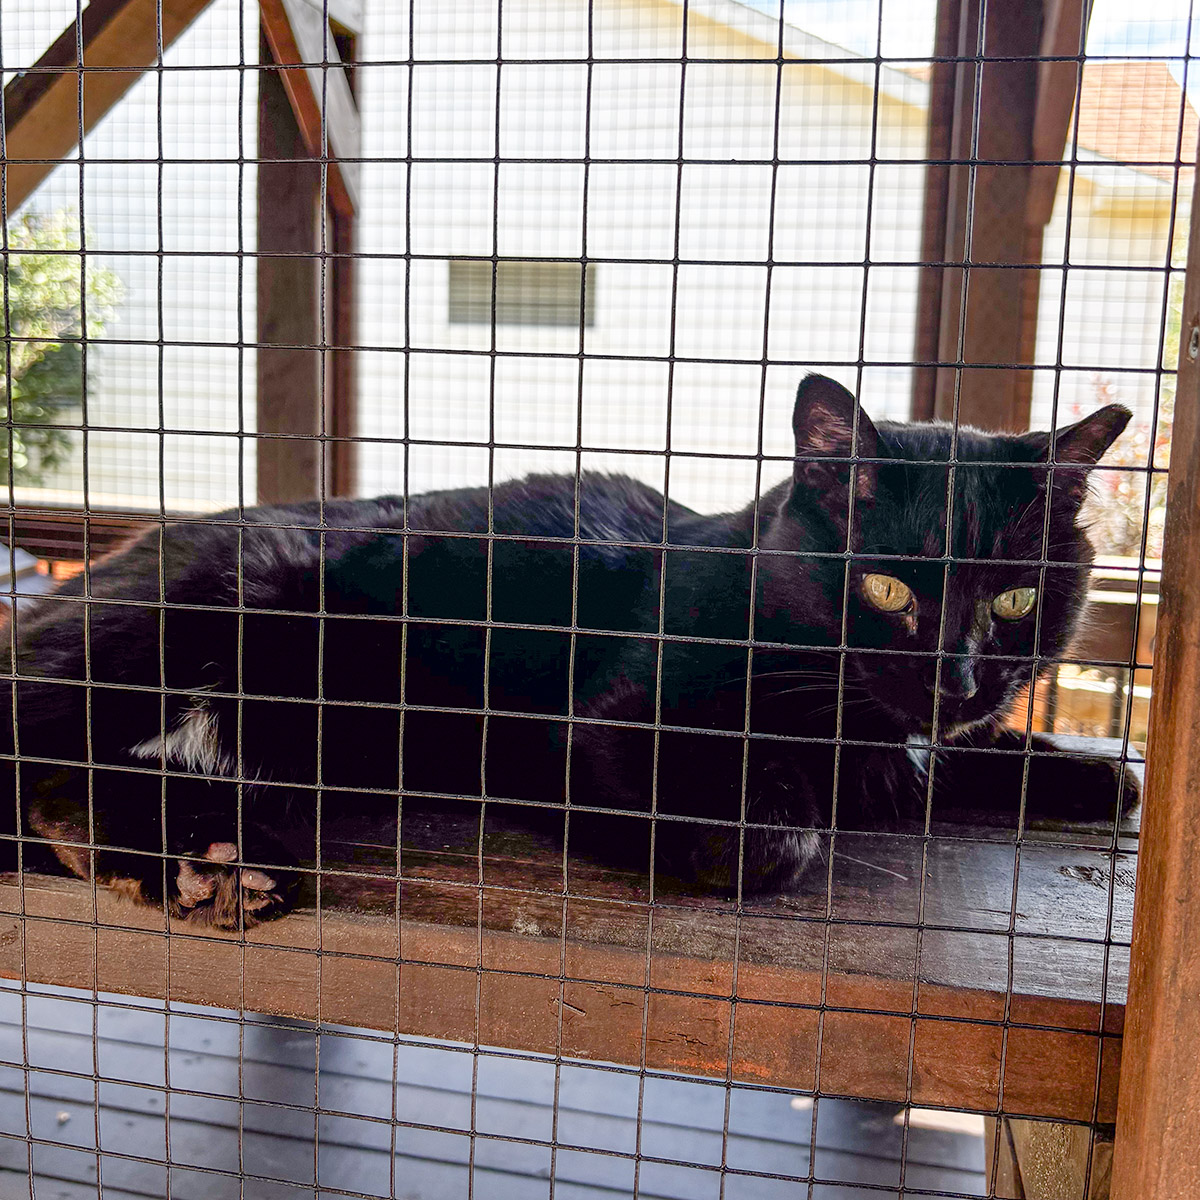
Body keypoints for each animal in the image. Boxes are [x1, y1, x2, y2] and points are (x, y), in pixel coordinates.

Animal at [0, 374, 1137, 926]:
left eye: (1016, 598)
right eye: (890, 589)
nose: (957, 677)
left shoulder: (915, 744)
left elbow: (951, 761)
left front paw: (1089, 772)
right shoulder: (606, 727)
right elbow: (779, 832)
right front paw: (750, 834)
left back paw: (204, 858)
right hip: (211, 618)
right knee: (36, 771)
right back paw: (199, 866)